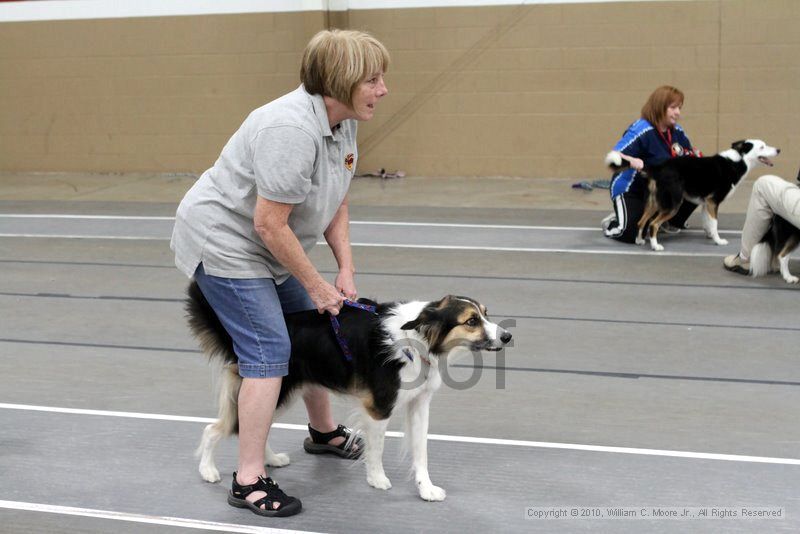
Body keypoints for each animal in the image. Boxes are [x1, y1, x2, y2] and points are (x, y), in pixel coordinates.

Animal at [188, 286, 512, 504]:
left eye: (485, 314)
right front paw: (377, 479)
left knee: (254, 427)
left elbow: (421, 452)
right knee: (215, 429)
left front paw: (426, 488)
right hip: (275, 388)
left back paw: (270, 459)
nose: (507, 336)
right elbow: (377, 449)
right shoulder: (379, 407)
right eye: (471, 321)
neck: (416, 338)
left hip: (282, 393)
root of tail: (243, 343)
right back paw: (208, 470)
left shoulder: (420, 405)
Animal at [608, 141, 780, 252]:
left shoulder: (706, 203)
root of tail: (658, 168)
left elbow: (708, 223)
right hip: (673, 204)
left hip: (654, 202)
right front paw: (719, 241)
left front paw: (711, 236)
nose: (778, 150)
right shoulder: (713, 202)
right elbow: (714, 223)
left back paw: (639, 240)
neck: (737, 161)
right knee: (653, 224)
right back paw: (655, 246)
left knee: (640, 222)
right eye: (762, 146)